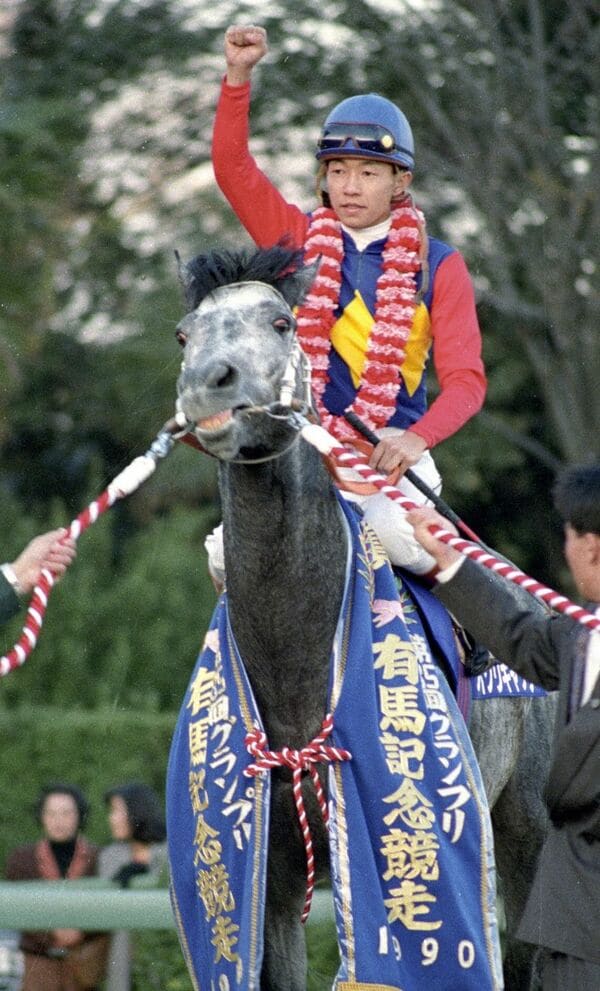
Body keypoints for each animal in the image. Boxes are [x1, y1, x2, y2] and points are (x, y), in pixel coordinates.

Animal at [171, 242, 556, 991]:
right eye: (183, 334)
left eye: (282, 322)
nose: (210, 385)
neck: (296, 655)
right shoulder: (269, 880)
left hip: (528, 827)